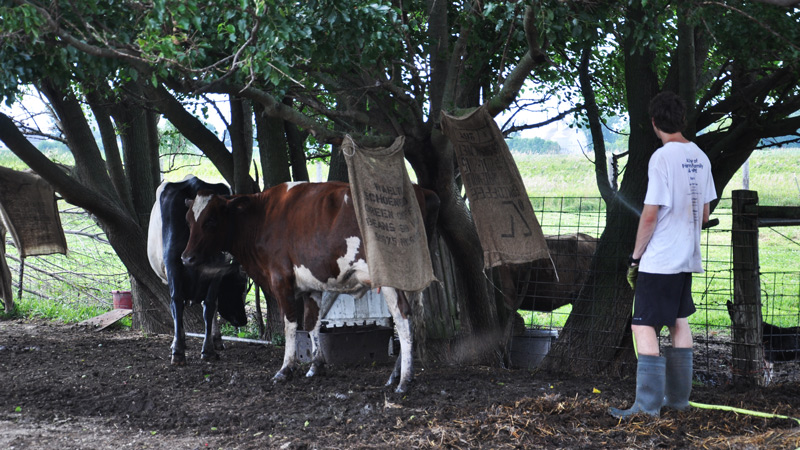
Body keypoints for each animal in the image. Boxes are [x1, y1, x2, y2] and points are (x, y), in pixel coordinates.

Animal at [180, 181, 439, 393]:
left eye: (211, 221)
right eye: (188, 221)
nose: (186, 258)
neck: (262, 217)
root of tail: (420, 190)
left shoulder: (281, 279)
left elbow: (290, 324)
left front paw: (285, 369)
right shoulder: (310, 285)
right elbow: (312, 322)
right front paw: (316, 366)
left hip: (390, 279)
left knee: (403, 317)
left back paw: (404, 381)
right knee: (413, 318)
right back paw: (396, 375)